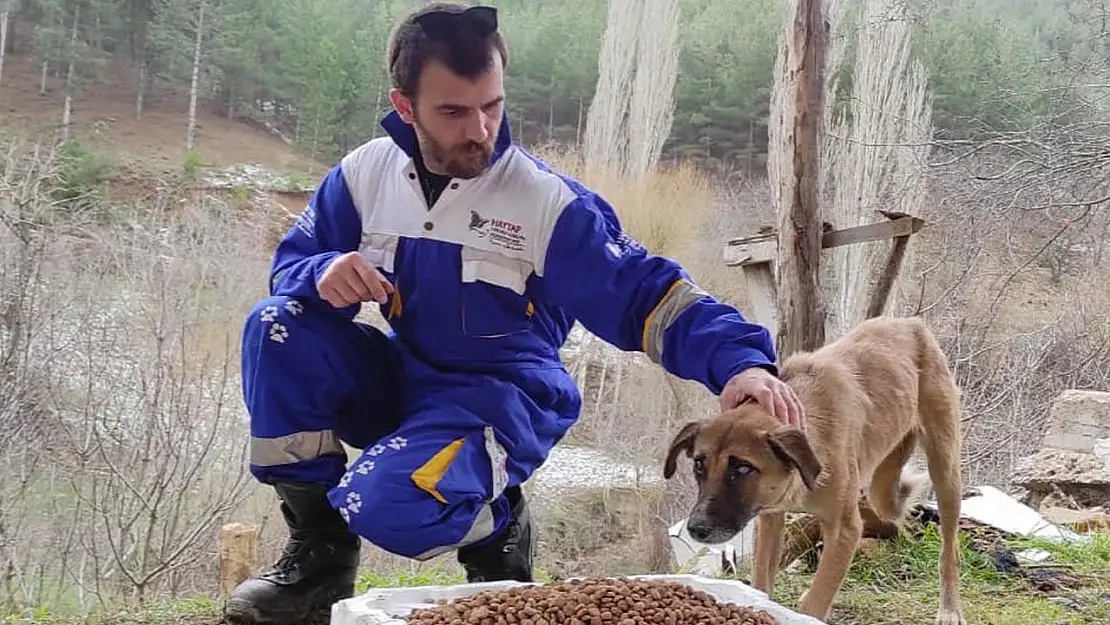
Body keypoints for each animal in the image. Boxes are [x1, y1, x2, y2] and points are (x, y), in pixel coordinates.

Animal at [666, 317, 963, 625]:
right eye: (699, 464)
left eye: (743, 468)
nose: (697, 529)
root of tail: (910, 322)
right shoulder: (770, 519)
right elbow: (763, 580)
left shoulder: (844, 530)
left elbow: (817, 600)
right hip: (882, 490)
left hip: (945, 470)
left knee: (949, 547)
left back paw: (949, 608)